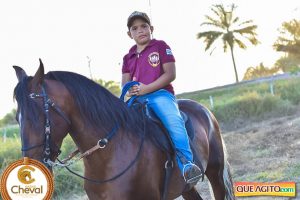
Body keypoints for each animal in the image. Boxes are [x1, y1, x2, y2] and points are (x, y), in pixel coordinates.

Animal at [12, 59, 236, 200]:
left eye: (38, 115)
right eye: (17, 118)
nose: (31, 167)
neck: (111, 153)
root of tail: (202, 109)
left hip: (215, 173)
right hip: (186, 187)